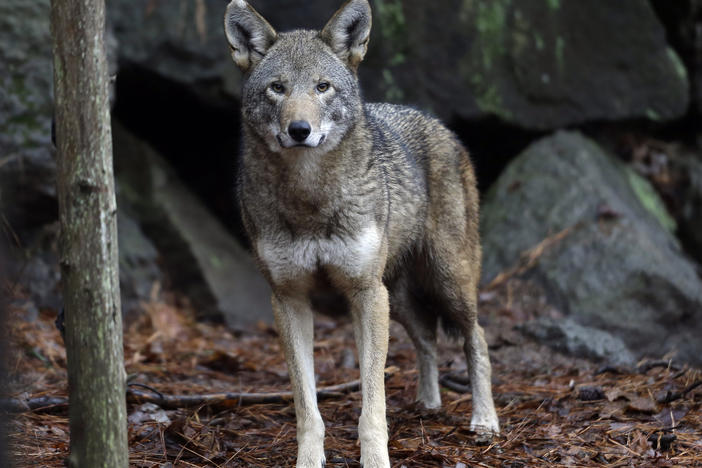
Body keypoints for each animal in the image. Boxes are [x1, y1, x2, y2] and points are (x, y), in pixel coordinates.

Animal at [226, 0, 500, 464]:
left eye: (322, 87)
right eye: (277, 88)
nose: (299, 130)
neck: (310, 199)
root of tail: (440, 125)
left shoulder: (365, 293)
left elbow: (373, 402)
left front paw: (375, 459)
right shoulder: (289, 299)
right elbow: (307, 405)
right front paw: (308, 459)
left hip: (445, 282)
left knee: (476, 339)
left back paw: (484, 420)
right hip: (399, 298)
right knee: (427, 340)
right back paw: (428, 405)